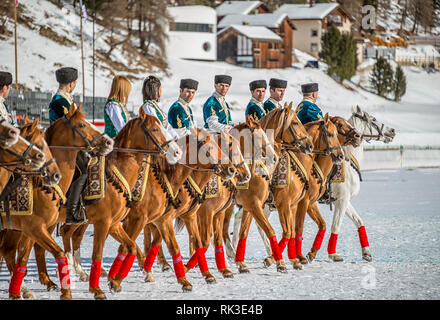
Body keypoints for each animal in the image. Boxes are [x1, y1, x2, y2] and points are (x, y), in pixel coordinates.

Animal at [229, 106, 398, 264]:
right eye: (373, 119)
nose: (392, 131)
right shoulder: (324, 201)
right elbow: (331, 226)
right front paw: (328, 254)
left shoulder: (336, 200)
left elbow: (354, 222)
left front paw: (366, 253)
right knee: (253, 223)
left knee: (244, 220)